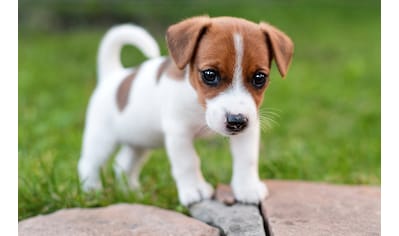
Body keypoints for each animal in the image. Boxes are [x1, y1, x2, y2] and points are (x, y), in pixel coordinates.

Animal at [79, 15, 296, 206]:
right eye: (209, 74)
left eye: (260, 78)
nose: (236, 121)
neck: (198, 104)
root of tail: (113, 75)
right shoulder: (179, 134)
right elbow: (188, 162)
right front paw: (195, 190)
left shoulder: (248, 130)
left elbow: (247, 159)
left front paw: (247, 188)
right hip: (101, 139)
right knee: (88, 165)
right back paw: (92, 192)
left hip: (139, 142)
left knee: (123, 165)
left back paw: (132, 192)